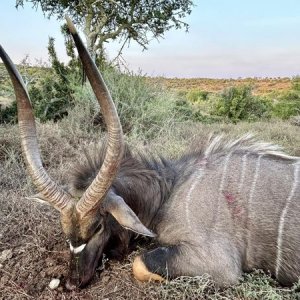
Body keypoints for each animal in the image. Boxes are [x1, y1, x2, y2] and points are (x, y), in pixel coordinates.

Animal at [0, 17, 300, 290]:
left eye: (97, 227)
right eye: (65, 232)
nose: (73, 282)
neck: (171, 189)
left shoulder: (220, 265)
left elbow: (139, 263)